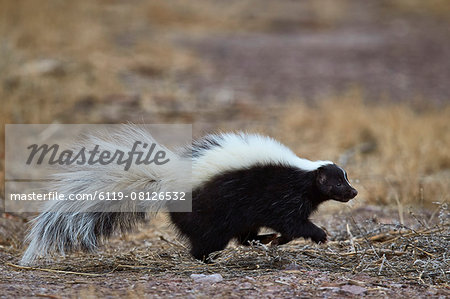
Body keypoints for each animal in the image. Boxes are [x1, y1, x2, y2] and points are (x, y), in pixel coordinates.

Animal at [21, 128, 356, 264]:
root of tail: (167, 180)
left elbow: (288, 225)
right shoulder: (282, 194)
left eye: (345, 179)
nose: (354, 192)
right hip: (210, 210)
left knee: (243, 234)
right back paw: (209, 259)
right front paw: (319, 234)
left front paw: (277, 240)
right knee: (207, 239)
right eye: (338, 184)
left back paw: (259, 241)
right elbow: (291, 222)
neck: (304, 173)